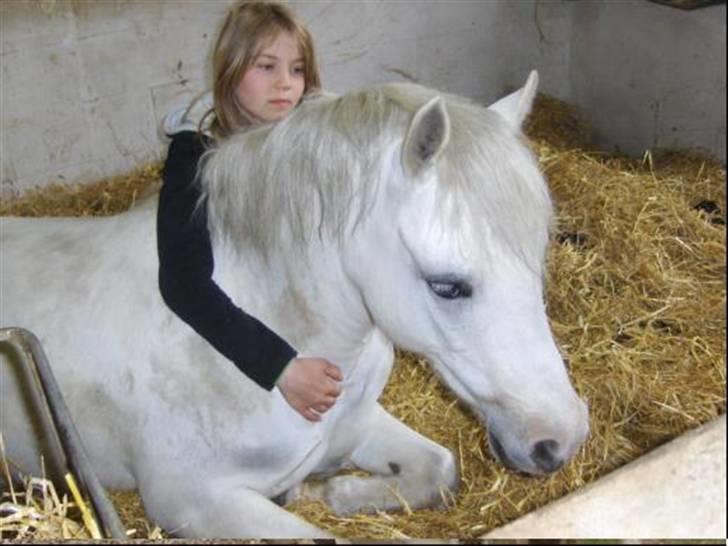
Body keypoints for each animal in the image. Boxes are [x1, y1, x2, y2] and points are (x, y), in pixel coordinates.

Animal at [0, 71, 589, 539]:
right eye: (446, 286)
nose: (560, 439)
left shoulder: (357, 425)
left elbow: (439, 470)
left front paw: (336, 493)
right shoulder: (193, 502)